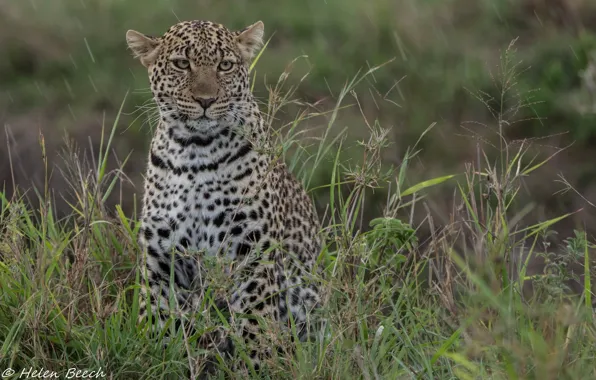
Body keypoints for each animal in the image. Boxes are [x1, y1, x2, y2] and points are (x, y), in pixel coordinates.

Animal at [123, 19, 324, 372]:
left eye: (225, 65)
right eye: (182, 64)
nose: (205, 100)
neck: (194, 152)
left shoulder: (253, 255)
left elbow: (254, 327)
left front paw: (254, 370)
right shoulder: (161, 261)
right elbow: (158, 323)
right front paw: (155, 361)